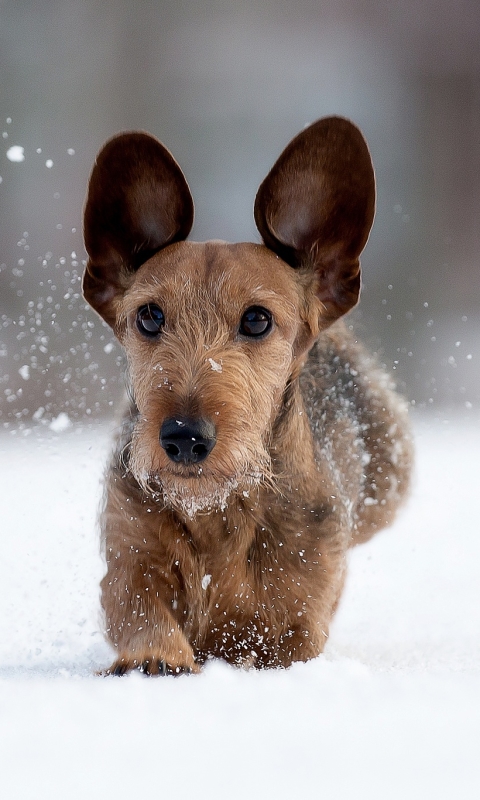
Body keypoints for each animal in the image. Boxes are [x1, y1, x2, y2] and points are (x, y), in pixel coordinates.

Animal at [82, 114, 412, 676]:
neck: (221, 512)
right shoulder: (130, 550)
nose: (184, 437)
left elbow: (287, 639)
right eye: (149, 315)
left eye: (257, 320)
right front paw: (155, 658)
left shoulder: (303, 615)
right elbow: (138, 606)